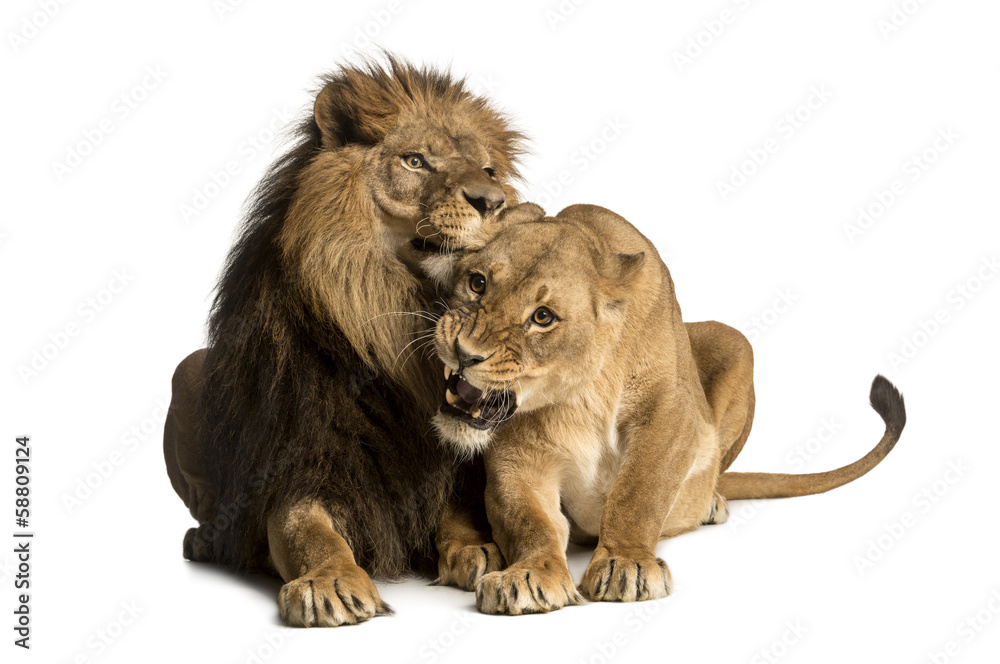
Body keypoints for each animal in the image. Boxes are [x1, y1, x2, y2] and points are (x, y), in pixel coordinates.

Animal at [162, 57, 528, 626]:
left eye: (488, 171)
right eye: (416, 161)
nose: (493, 202)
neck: (390, 315)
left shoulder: (435, 464)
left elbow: (457, 518)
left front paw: (483, 551)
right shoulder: (296, 464)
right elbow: (306, 531)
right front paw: (331, 582)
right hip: (188, 369)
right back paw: (206, 540)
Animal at [430, 203, 906, 614]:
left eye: (543, 317)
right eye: (477, 283)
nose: (465, 353)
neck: (578, 394)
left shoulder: (671, 413)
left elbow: (640, 491)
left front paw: (626, 563)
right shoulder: (516, 453)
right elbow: (527, 518)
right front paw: (529, 575)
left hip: (735, 343)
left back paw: (711, 502)